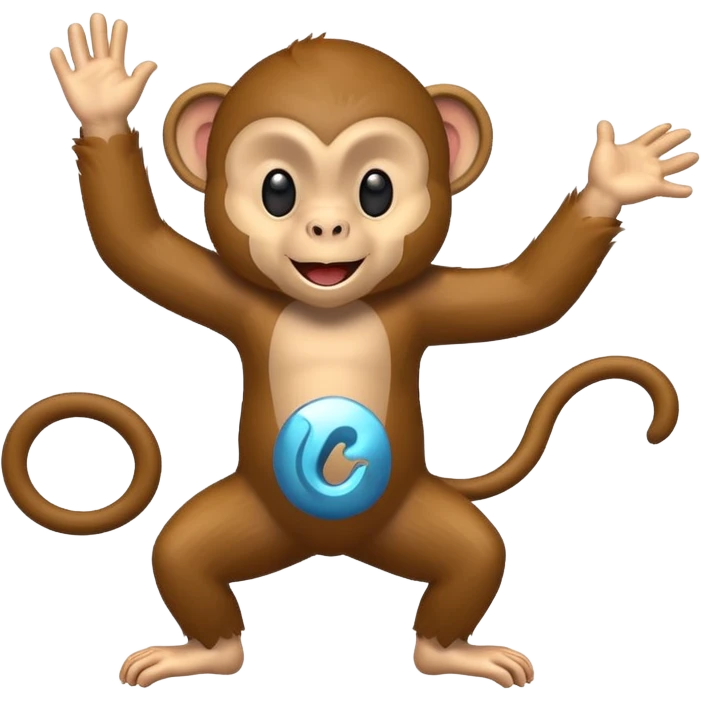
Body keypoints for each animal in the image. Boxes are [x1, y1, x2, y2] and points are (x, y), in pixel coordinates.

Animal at [2, 13, 695, 688]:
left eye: (376, 189)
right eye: (277, 190)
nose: (328, 227)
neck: (329, 307)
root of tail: (331, 548)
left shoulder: (426, 303)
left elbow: (530, 295)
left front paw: (614, 181)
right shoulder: (232, 298)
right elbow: (135, 245)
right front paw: (101, 99)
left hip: (413, 519)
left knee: (477, 555)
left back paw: (448, 652)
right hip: (251, 519)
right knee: (180, 554)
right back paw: (208, 653)